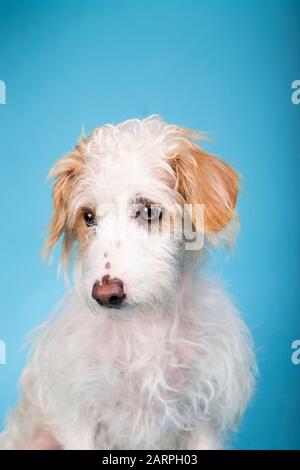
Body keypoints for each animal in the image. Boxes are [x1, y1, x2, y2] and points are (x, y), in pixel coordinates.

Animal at [0, 115, 255, 450]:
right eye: (89, 216)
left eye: (147, 211)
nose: (105, 294)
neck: (146, 326)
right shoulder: (80, 416)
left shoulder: (205, 418)